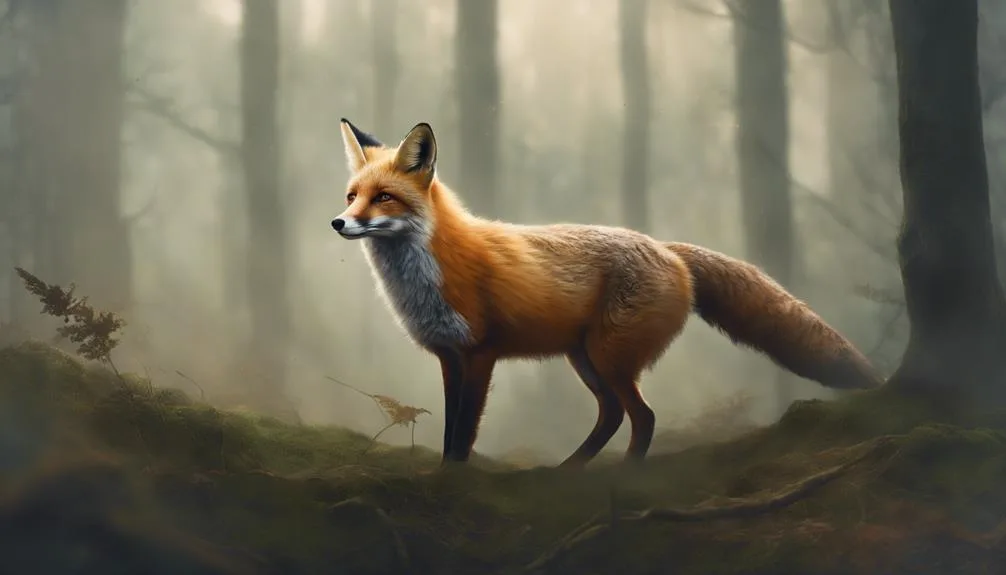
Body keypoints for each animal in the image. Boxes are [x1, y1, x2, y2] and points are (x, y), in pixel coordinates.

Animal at [331, 119, 883, 468]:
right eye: (352, 196)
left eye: (384, 197)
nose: (338, 223)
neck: (430, 274)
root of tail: (666, 247)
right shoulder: (450, 355)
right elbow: (449, 428)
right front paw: (446, 472)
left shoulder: (481, 353)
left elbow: (465, 429)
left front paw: (456, 480)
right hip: (587, 358)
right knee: (614, 415)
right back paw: (568, 471)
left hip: (609, 357)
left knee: (643, 416)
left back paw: (624, 475)